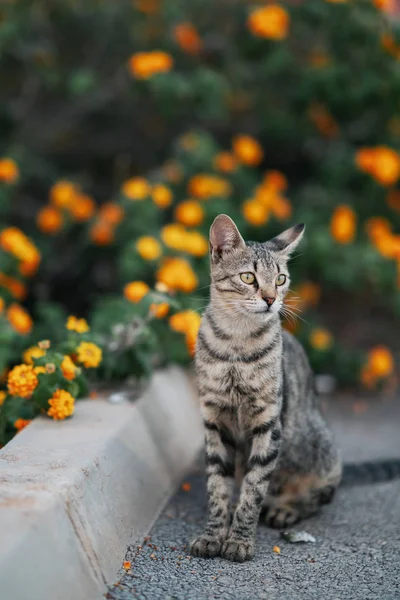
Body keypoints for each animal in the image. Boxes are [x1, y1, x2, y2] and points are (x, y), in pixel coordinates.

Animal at [190, 214, 340, 564]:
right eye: (248, 277)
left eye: (281, 278)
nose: (271, 299)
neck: (236, 343)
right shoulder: (214, 421)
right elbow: (218, 487)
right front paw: (213, 535)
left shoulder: (268, 423)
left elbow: (254, 488)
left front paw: (239, 541)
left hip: (318, 446)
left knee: (319, 493)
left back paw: (285, 508)